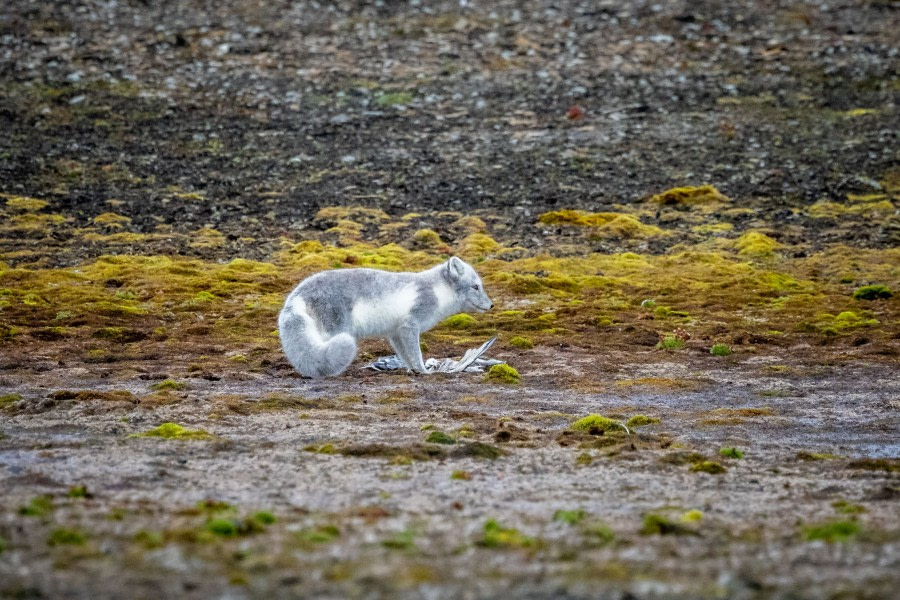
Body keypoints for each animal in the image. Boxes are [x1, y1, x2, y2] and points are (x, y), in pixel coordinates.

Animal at [280, 256, 496, 378]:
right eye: (475, 287)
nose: (491, 305)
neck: (438, 292)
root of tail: (296, 295)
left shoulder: (396, 332)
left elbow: (406, 356)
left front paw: (413, 371)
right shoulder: (410, 325)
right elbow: (416, 354)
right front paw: (424, 371)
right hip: (334, 330)